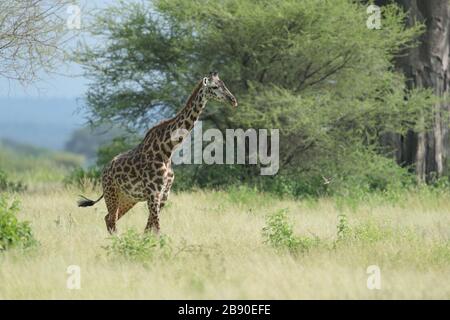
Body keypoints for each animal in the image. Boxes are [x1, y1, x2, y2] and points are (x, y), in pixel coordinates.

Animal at [77, 72, 239, 235]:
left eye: (224, 84)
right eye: (215, 87)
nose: (233, 100)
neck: (167, 150)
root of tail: (104, 170)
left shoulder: (164, 194)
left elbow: (149, 230)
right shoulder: (153, 193)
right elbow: (157, 230)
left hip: (128, 198)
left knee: (109, 218)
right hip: (111, 193)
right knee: (111, 220)